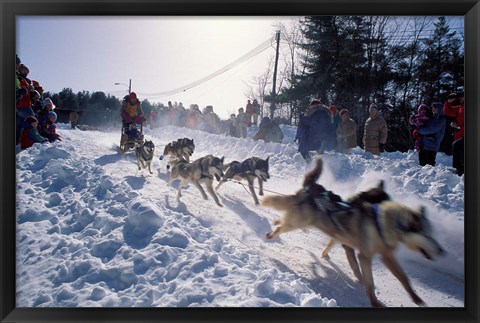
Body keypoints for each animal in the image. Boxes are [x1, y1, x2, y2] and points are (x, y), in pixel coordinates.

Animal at [262, 158, 446, 308]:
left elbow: (404, 278)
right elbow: (368, 281)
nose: (441, 250)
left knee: (284, 214)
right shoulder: (364, 256)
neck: (381, 224)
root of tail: (310, 189)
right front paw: (373, 300)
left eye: (432, 234)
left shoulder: (387, 256)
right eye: (426, 235)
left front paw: (416, 297)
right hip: (297, 220)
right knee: (282, 220)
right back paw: (271, 233)